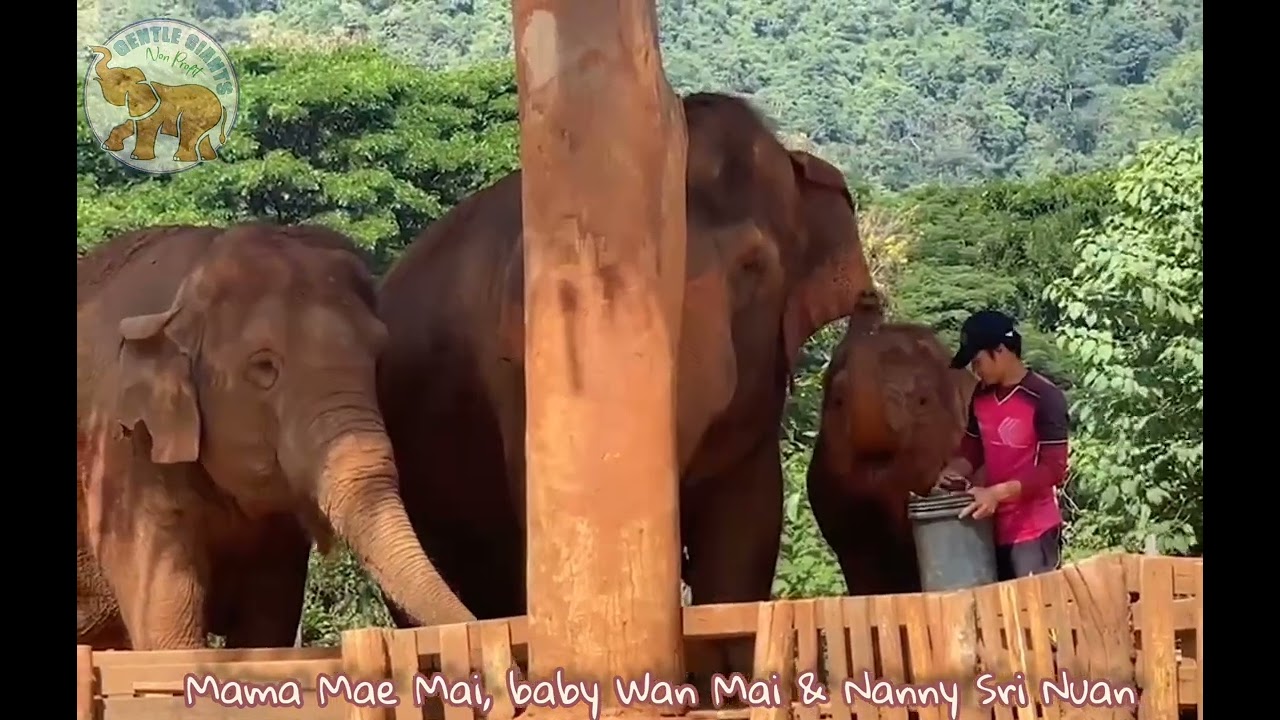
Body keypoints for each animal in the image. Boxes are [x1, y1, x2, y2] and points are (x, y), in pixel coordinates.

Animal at [86, 46, 228, 164]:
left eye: (117, 81)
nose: (91, 49)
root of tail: (221, 104)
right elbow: (131, 125)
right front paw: (107, 146)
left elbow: (146, 129)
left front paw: (136, 157)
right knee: (203, 137)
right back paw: (207, 159)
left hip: (196, 114)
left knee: (188, 132)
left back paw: (180, 159)